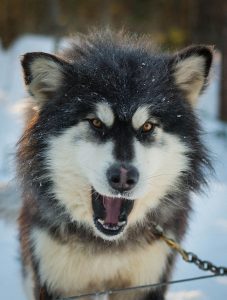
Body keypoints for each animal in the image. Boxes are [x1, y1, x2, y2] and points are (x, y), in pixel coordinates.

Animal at [17, 31, 213, 300]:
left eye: (147, 126)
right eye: (96, 123)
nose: (123, 178)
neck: (106, 247)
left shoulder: (144, 283)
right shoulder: (58, 283)